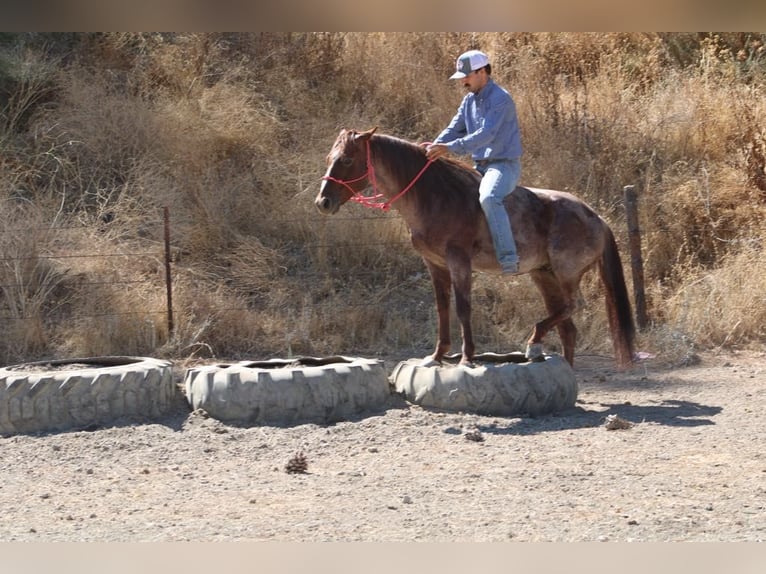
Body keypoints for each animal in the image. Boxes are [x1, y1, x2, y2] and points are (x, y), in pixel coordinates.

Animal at [314, 127, 636, 369]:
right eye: (329, 157)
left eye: (346, 159)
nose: (323, 202)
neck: (435, 196)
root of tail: (596, 217)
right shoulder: (435, 264)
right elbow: (442, 307)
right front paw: (436, 355)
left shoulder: (459, 261)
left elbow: (463, 307)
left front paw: (466, 357)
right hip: (544, 276)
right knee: (567, 326)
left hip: (566, 273)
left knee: (573, 306)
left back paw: (533, 342)